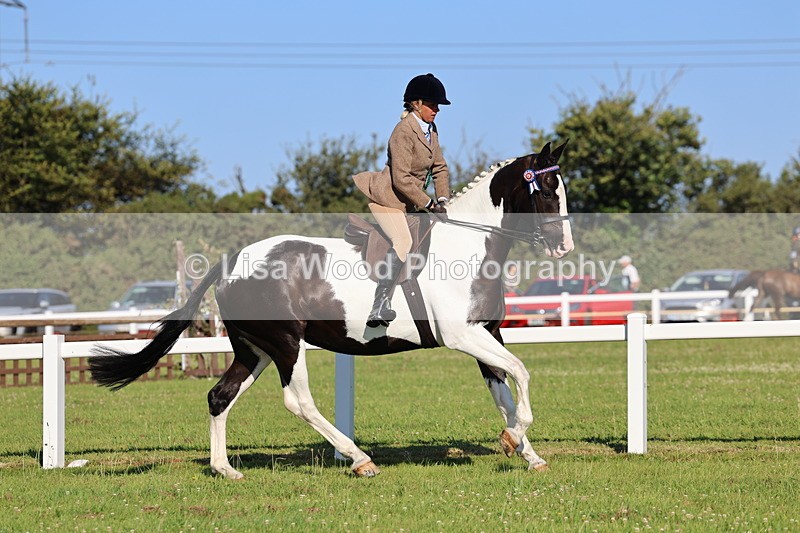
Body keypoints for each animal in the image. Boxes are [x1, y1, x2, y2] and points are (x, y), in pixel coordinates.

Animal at [89, 141, 574, 479]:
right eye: (548, 190)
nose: (564, 246)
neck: (470, 242)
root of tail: (231, 262)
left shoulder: (486, 333)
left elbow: (504, 392)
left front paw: (524, 451)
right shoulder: (462, 335)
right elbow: (522, 375)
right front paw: (515, 438)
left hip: (254, 348)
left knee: (220, 395)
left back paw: (225, 469)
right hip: (286, 342)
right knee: (298, 400)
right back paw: (360, 459)